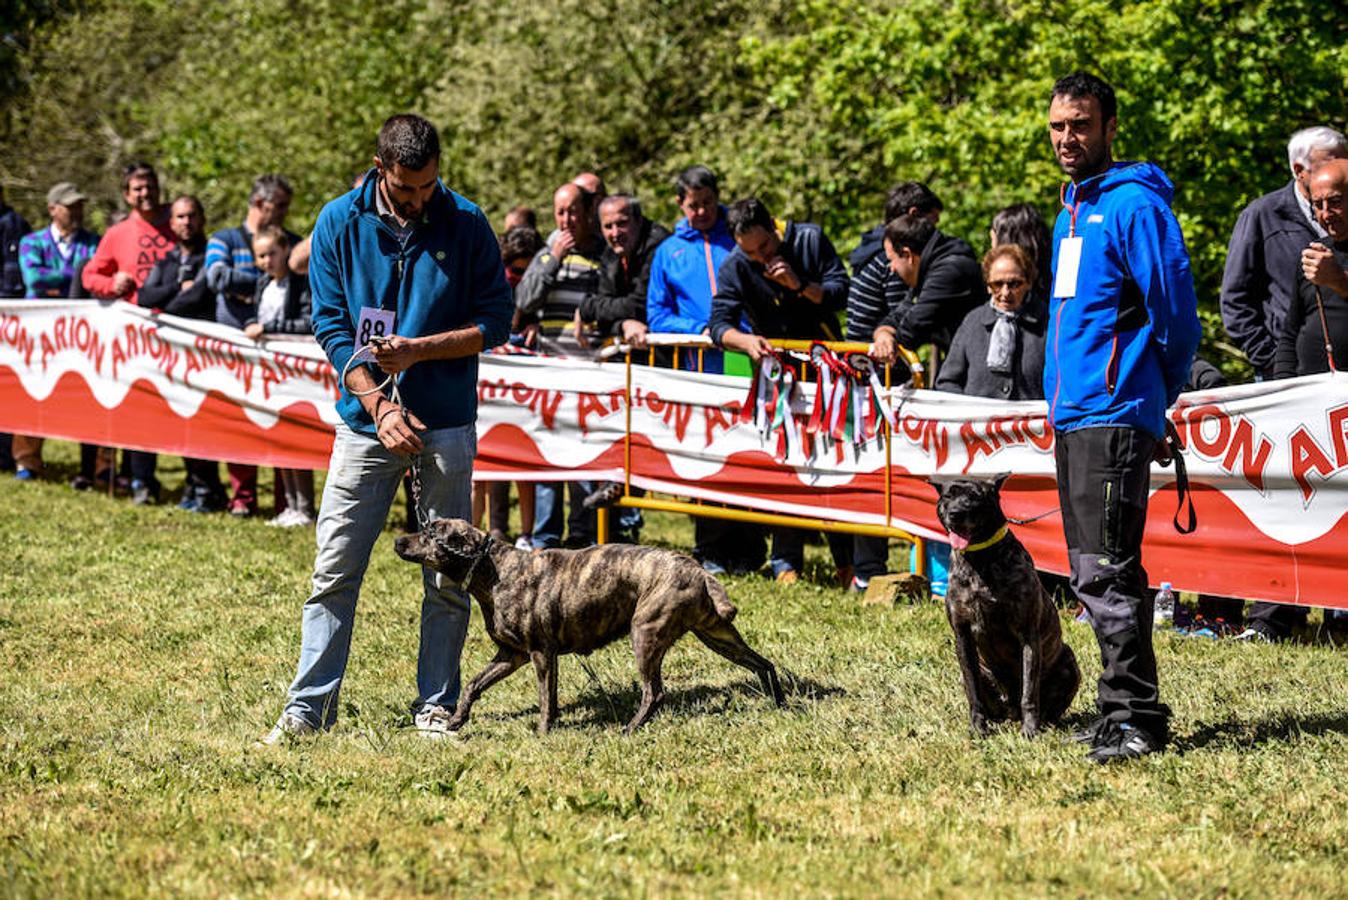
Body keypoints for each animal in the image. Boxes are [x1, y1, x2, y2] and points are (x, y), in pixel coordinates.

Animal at [393, 517, 787, 732]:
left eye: (431, 532)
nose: (397, 540)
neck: (494, 571)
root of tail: (698, 570)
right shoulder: (511, 654)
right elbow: (474, 684)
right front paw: (457, 720)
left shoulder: (541, 654)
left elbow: (546, 699)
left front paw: (543, 731)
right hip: (718, 635)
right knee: (764, 664)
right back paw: (780, 703)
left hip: (646, 634)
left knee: (654, 692)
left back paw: (630, 728)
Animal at [932, 474, 1078, 732]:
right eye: (948, 496)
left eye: (974, 496)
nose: (956, 513)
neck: (979, 560)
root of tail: (1011, 713)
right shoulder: (963, 636)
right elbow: (973, 690)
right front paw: (978, 727)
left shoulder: (1028, 635)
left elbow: (1029, 691)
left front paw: (1030, 730)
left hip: (1070, 663)